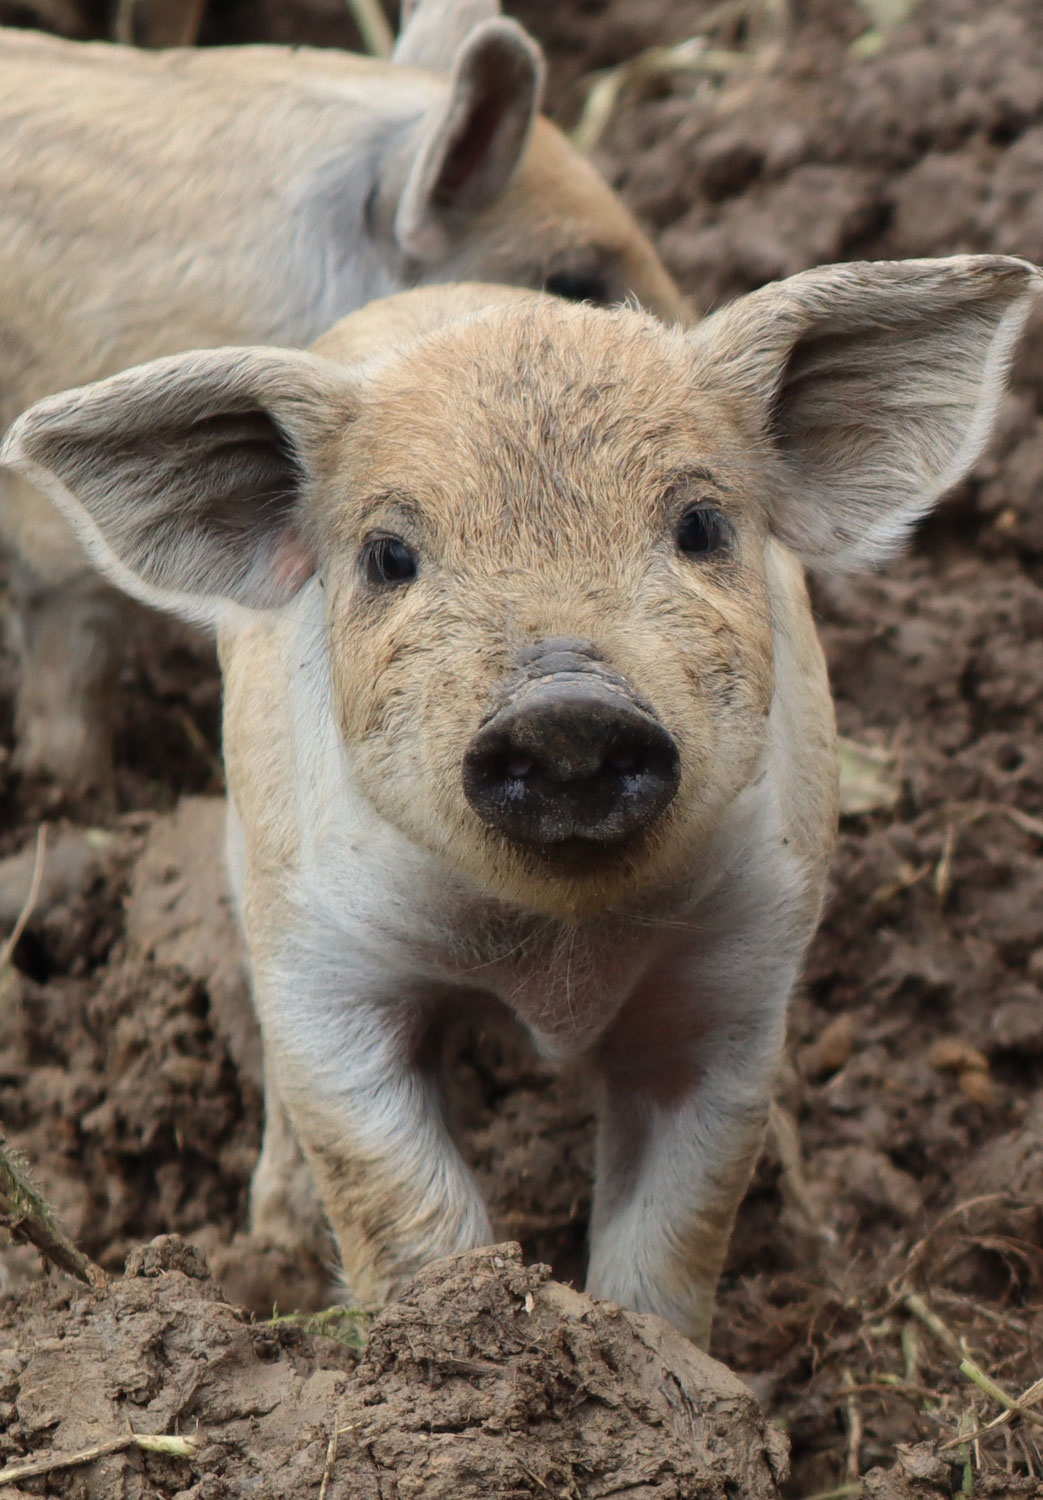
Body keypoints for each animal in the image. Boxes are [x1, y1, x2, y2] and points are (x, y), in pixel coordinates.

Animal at [6, 258, 1038, 1350]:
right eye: (387, 556)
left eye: (700, 526)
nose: (567, 707)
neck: (553, 959)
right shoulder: (326, 963)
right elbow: (392, 1194)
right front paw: (449, 1327)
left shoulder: (742, 969)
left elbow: (676, 1227)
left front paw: (671, 1362)